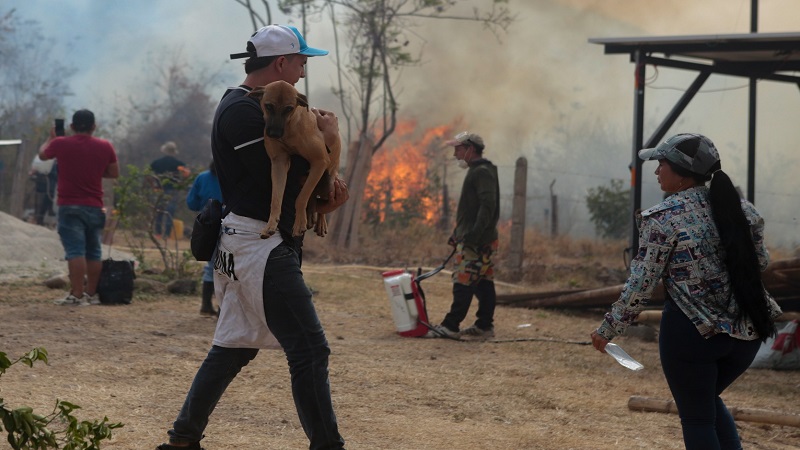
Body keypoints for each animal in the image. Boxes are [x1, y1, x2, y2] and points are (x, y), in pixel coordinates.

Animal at [248, 80, 340, 239]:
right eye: (268, 106)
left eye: (289, 109)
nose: (274, 134)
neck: (289, 130)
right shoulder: (279, 163)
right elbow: (276, 199)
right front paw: (271, 225)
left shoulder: (320, 161)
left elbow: (301, 198)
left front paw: (299, 224)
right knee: (312, 197)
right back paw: (310, 215)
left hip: (328, 182)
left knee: (319, 201)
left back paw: (319, 222)